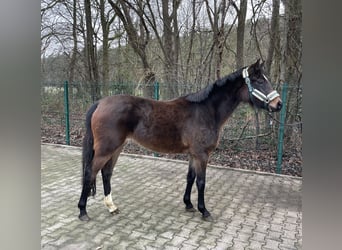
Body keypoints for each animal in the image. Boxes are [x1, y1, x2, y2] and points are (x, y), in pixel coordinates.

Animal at [79, 59, 282, 222]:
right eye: (259, 81)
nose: (278, 104)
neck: (206, 111)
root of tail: (100, 103)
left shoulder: (193, 154)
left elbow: (190, 178)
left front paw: (189, 205)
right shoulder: (202, 155)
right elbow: (201, 182)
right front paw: (204, 211)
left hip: (117, 148)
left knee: (106, 173)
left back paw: (111, 206)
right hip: (106, 149)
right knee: (90, 173)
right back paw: (82, 212)